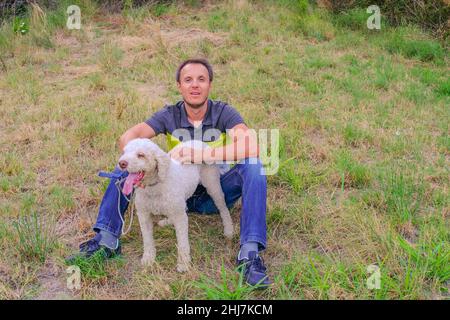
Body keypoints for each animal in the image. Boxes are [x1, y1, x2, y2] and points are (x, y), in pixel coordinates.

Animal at [118, 138, 234, 272]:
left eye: (141, 155)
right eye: (124, 152)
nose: (121, 163)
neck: (155, 186)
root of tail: (199, 141)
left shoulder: (179, 216)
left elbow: (182, 241)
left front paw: (183, 263)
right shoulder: (143, 215)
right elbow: (147, 240)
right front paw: (148, 258)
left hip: (212, 184)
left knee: (223, 207)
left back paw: (229, 229)